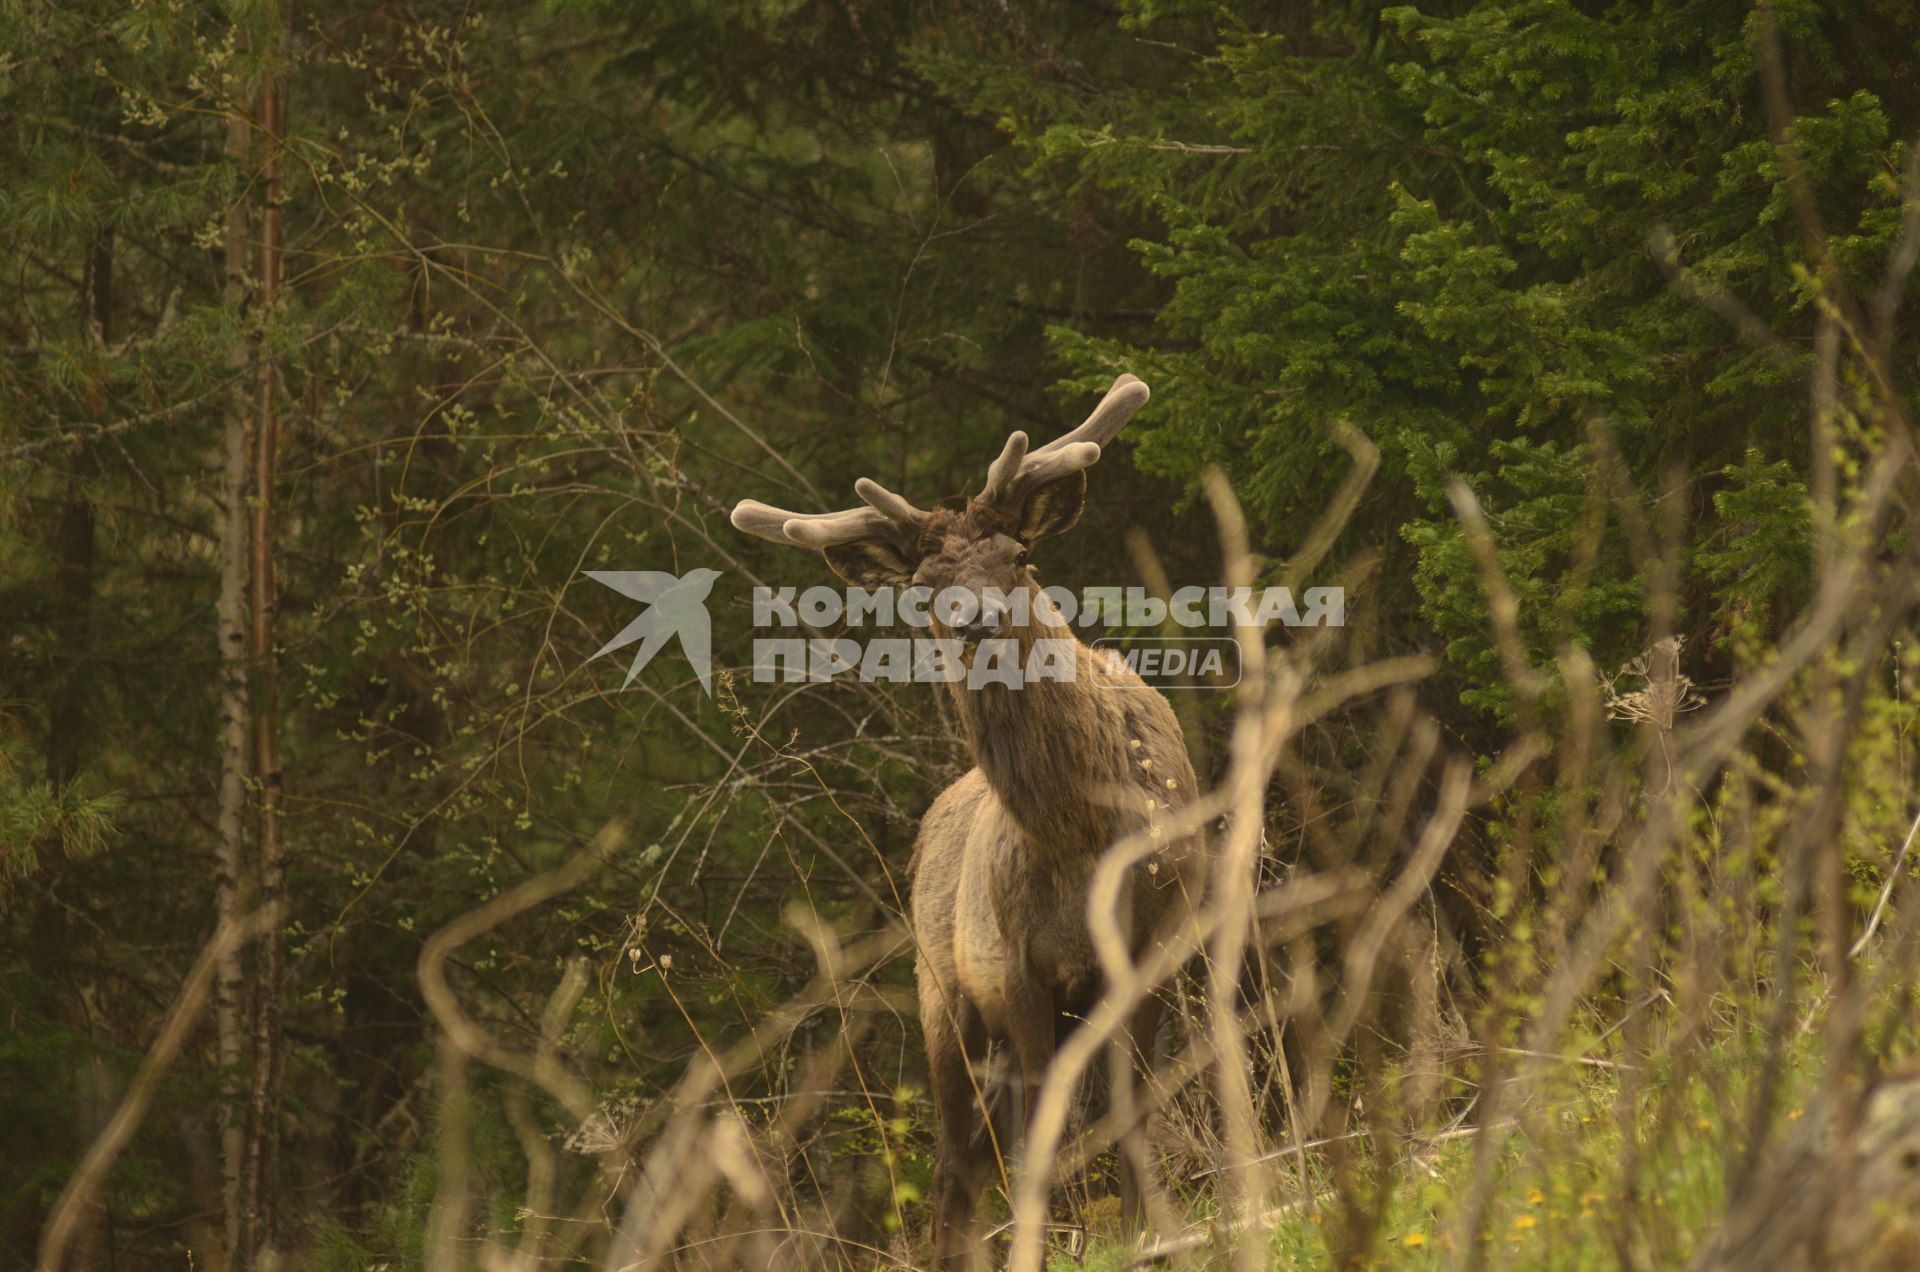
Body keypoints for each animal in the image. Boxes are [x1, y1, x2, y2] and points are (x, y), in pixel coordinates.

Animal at [725, 376, 1205, 1268]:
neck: (1082, 837)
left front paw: (1151, 1232)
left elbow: (1129, 1111)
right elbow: (1042, 1135)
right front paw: (1047, 1246)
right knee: (957, 1157)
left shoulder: (1159, 938)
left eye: (1018, 556)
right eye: (924, 583)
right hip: (940, 992)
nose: (977, 620)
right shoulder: (1016, 965)